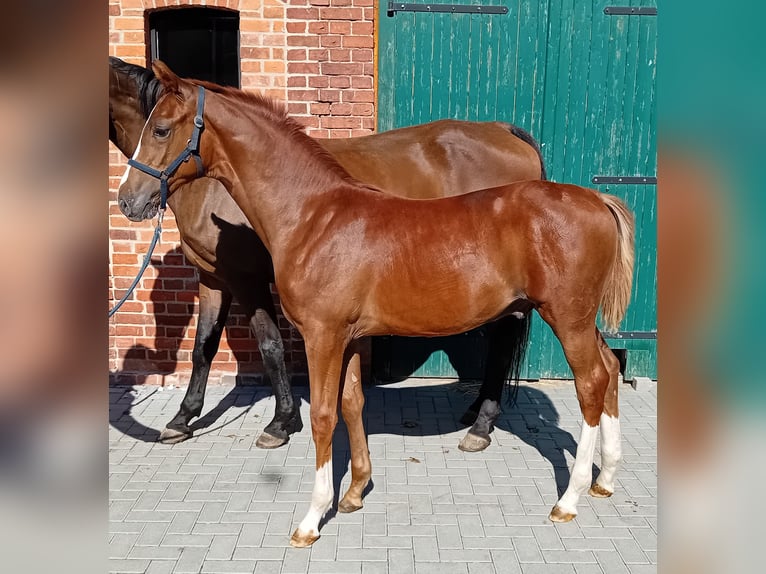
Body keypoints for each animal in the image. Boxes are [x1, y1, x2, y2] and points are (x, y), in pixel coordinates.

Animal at [111, 58, 548, 452]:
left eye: (161, 130)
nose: (128, 201)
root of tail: (503, 132)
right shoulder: (213, 277)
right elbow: (203, 346)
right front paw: (182, 419)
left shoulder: (246, 279)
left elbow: (269, 345)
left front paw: (281, 423)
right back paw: (475, 412)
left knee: (502, 344)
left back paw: (482, 425)